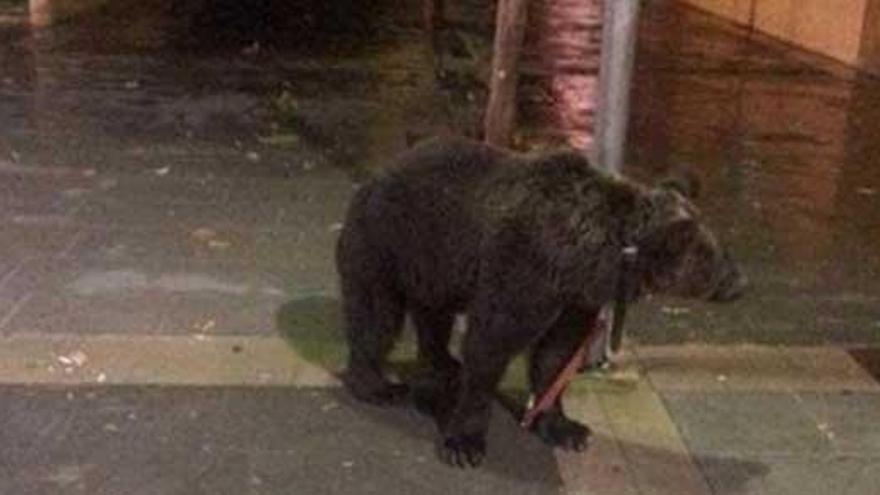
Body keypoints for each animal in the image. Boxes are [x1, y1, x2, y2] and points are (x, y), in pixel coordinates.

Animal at [334, 137, 744, 468]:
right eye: (714, 257)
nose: (741, 282)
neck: (592, 255)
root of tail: (375, 175)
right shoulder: (523, 269)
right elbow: (491, 345)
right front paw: (464, 443)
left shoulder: (575, 297)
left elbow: (557, 354)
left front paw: (566, 428)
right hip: (386, 243)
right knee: (377, 316)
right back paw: (379, 386)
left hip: (436, 264)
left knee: (433, 315)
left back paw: (443, 363)